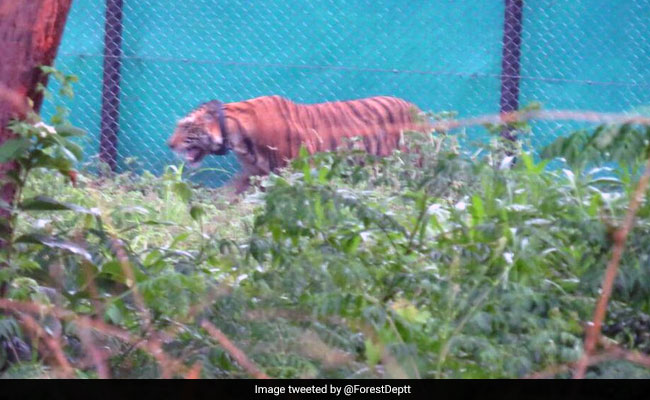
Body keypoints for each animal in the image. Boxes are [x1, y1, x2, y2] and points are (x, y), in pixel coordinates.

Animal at [167, 95, 430, 193]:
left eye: (186, 127)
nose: (169, 144)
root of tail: (418, 110)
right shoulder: (253, 172)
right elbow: (228, 193)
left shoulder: (297, 171)